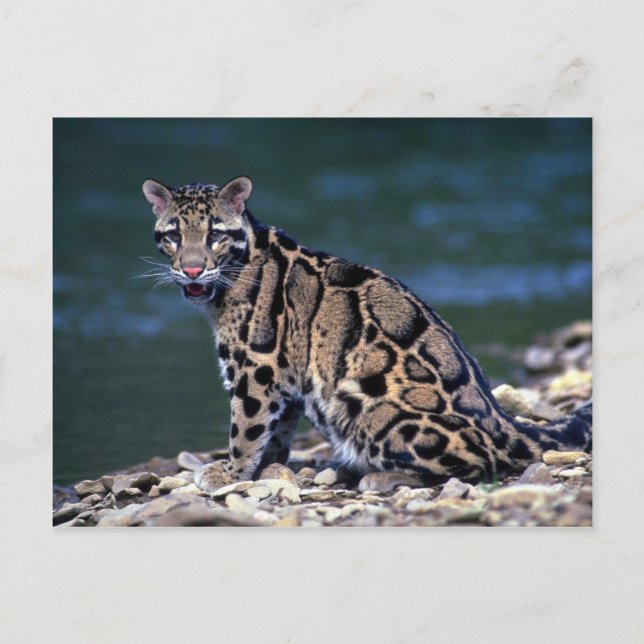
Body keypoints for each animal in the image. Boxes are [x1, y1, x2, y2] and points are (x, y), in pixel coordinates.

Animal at [141, 175, 592, 493]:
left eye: (215, 234)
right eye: (174, 236)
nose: (192, 269)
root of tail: (502, 423)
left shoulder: (257, 365)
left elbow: (246, 426)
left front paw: (232, 472)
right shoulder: (285, 374)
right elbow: (277, 429)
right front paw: (270, 466)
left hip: (363, 403)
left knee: (481, 465)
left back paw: (379, 476)